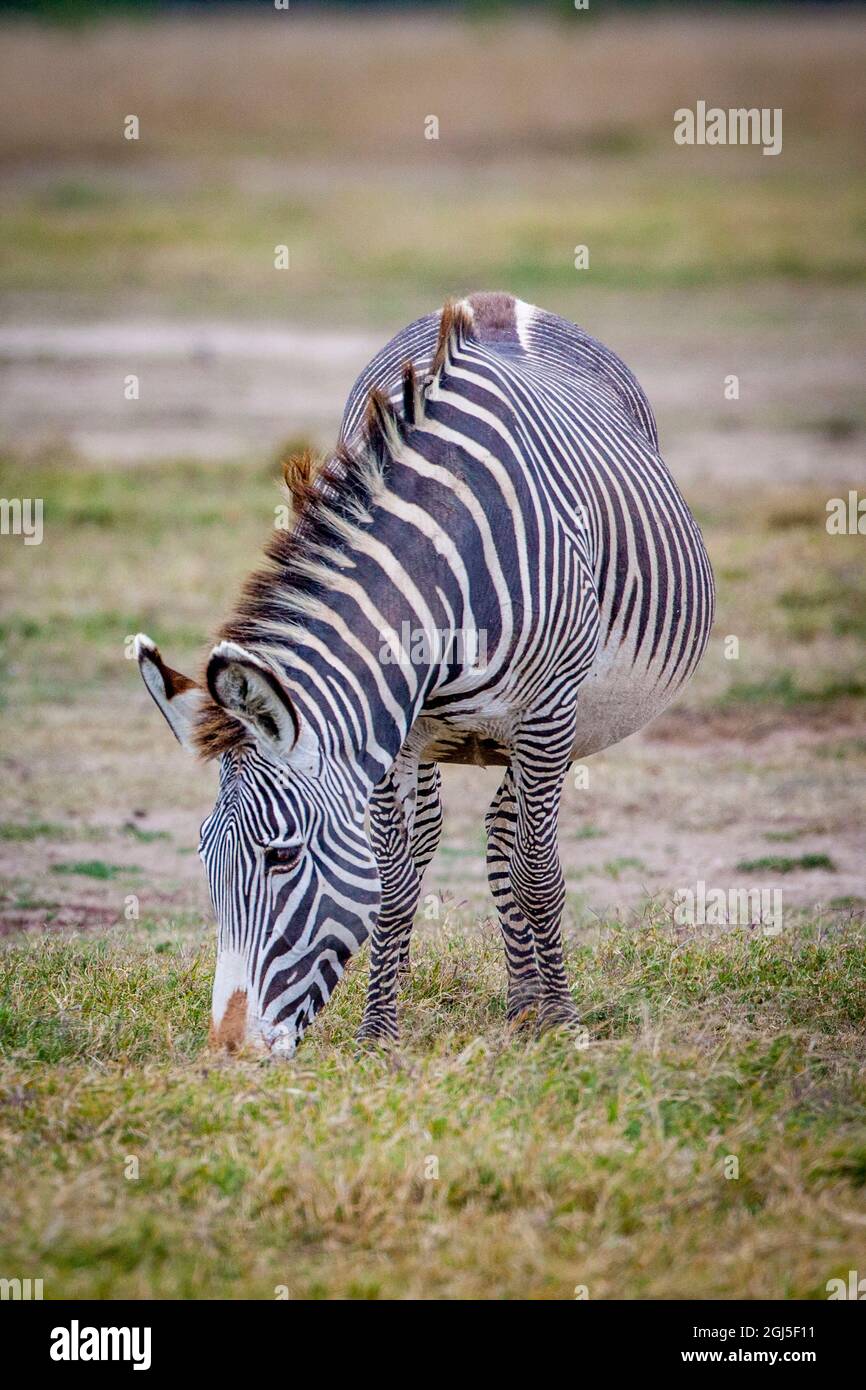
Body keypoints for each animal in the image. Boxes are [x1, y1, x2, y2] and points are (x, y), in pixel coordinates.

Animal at [134, 292, 713, 1055]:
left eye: (282, 857)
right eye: (205, 858)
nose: (230, 1051)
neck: (446, 564)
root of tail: (499, 300)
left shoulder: (548, 714)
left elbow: (538, 872)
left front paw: (564, 1025)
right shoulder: (396, 733)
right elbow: (393, 876)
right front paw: (379, 1034)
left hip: (545, 730)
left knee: (512, 842)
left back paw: (533, 1008)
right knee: (480, 834)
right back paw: (519, 1005)